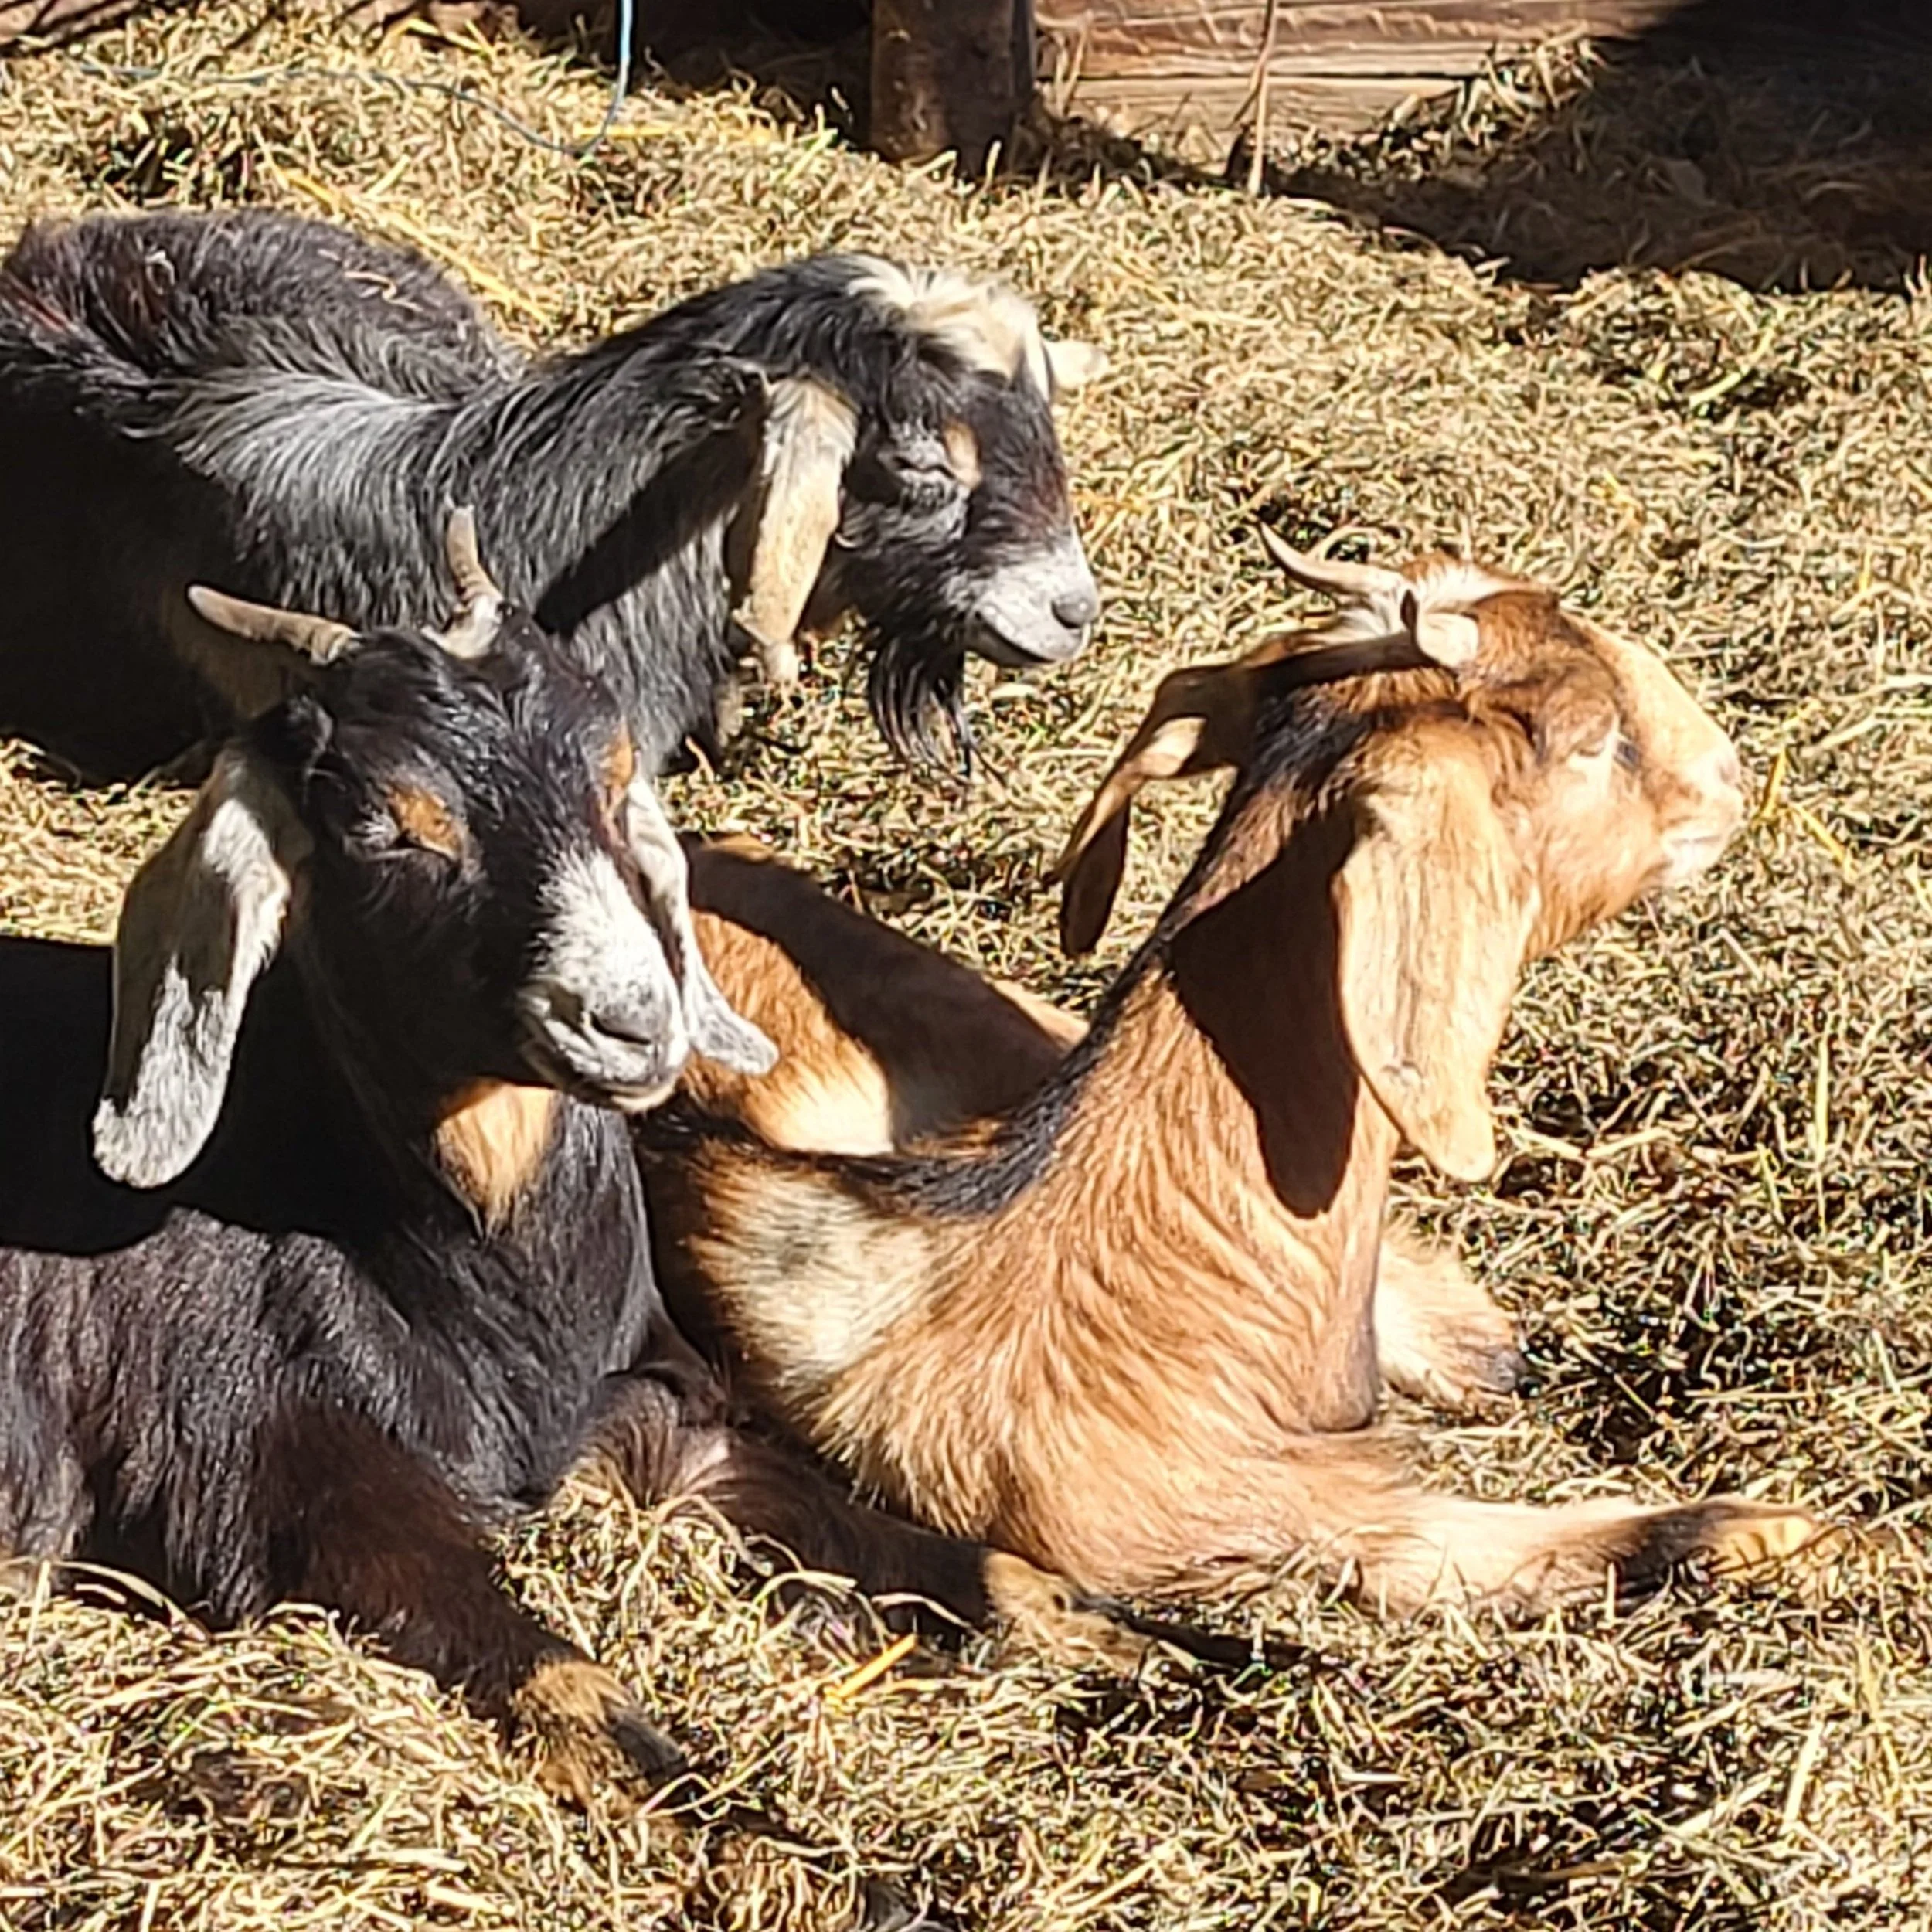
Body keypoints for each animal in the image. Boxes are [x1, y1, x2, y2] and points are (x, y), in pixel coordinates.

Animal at [0, 515, 1133, 1807]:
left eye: (610, 777)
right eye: (386, 828)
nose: (632, 1019)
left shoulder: (665, 1421)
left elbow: (982, 1569)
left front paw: (1195, 1656)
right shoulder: (268, 1481)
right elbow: (574, 1688)